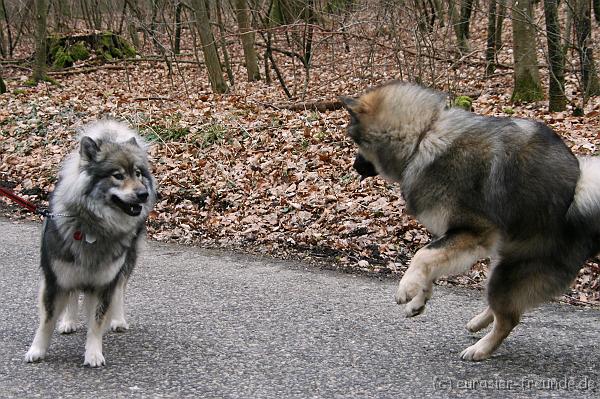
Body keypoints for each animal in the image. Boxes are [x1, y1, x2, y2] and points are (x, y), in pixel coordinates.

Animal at [25, 120, 157, 368]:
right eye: (117, 175)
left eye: (138, 174)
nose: (143, 194)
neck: (92, 227)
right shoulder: (55, 279)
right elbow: (46, 321)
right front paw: (37, 350)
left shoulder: (104, 283)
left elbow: (96, 321)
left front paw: (94, 353)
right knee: (72, 293)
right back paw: (68, 320)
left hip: (126, 262)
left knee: (120, 289)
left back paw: (117, 319)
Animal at [342, 81, 600, 362]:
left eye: (356, 143)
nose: (354, 166)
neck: (423, 137)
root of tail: (577, 193)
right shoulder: (455, 237)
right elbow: (430, 262)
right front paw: (419, 300)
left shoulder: (473, 231)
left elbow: (422, 255)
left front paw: (407, 287)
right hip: (501, 264)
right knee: (506, 308)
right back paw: (478, 322)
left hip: (511, 272)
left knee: (509, 318)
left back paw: (482, 348)